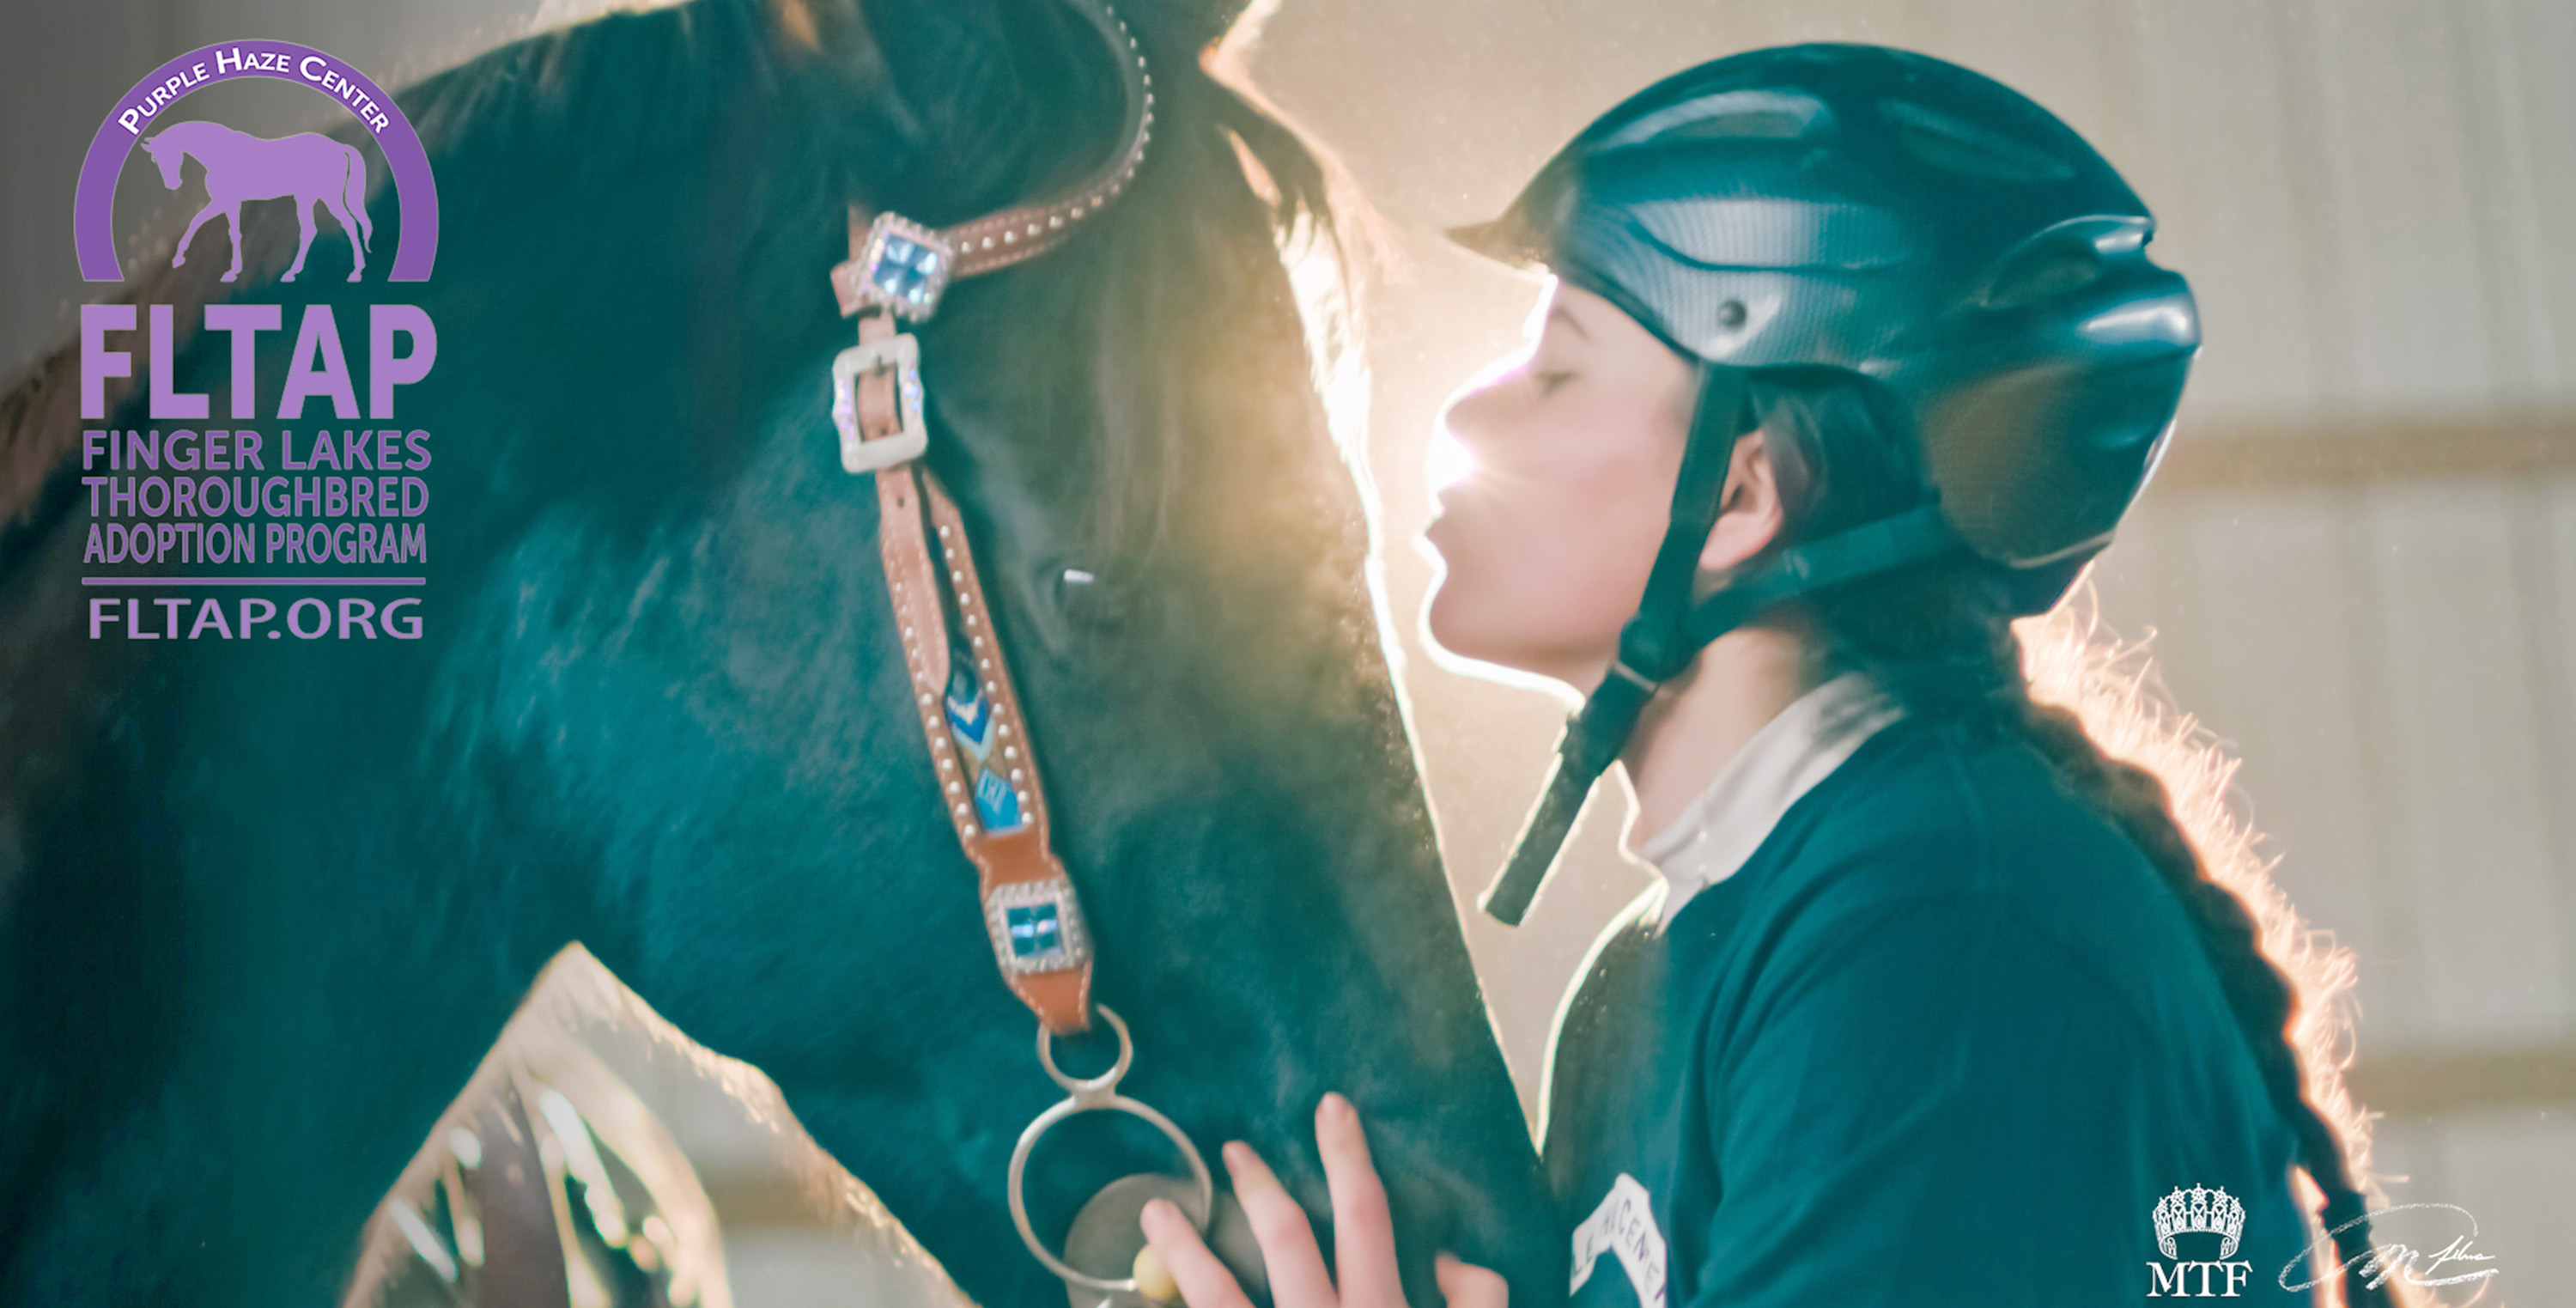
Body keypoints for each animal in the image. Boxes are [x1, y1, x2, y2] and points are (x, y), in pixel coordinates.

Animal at [142, 119, 375, 284]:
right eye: (155, 159)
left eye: (171, 154)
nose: (173, 184)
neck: (219, 155)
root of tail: (339, 147)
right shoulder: (222, 202)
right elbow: (197, 222)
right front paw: (179, 258)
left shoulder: (229, 202)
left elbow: (230, 232)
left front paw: (231, 272)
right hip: (306, 198)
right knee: (310, 230)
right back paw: (292, 272)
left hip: (328, 196)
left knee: (348, 224)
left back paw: (356, 271)